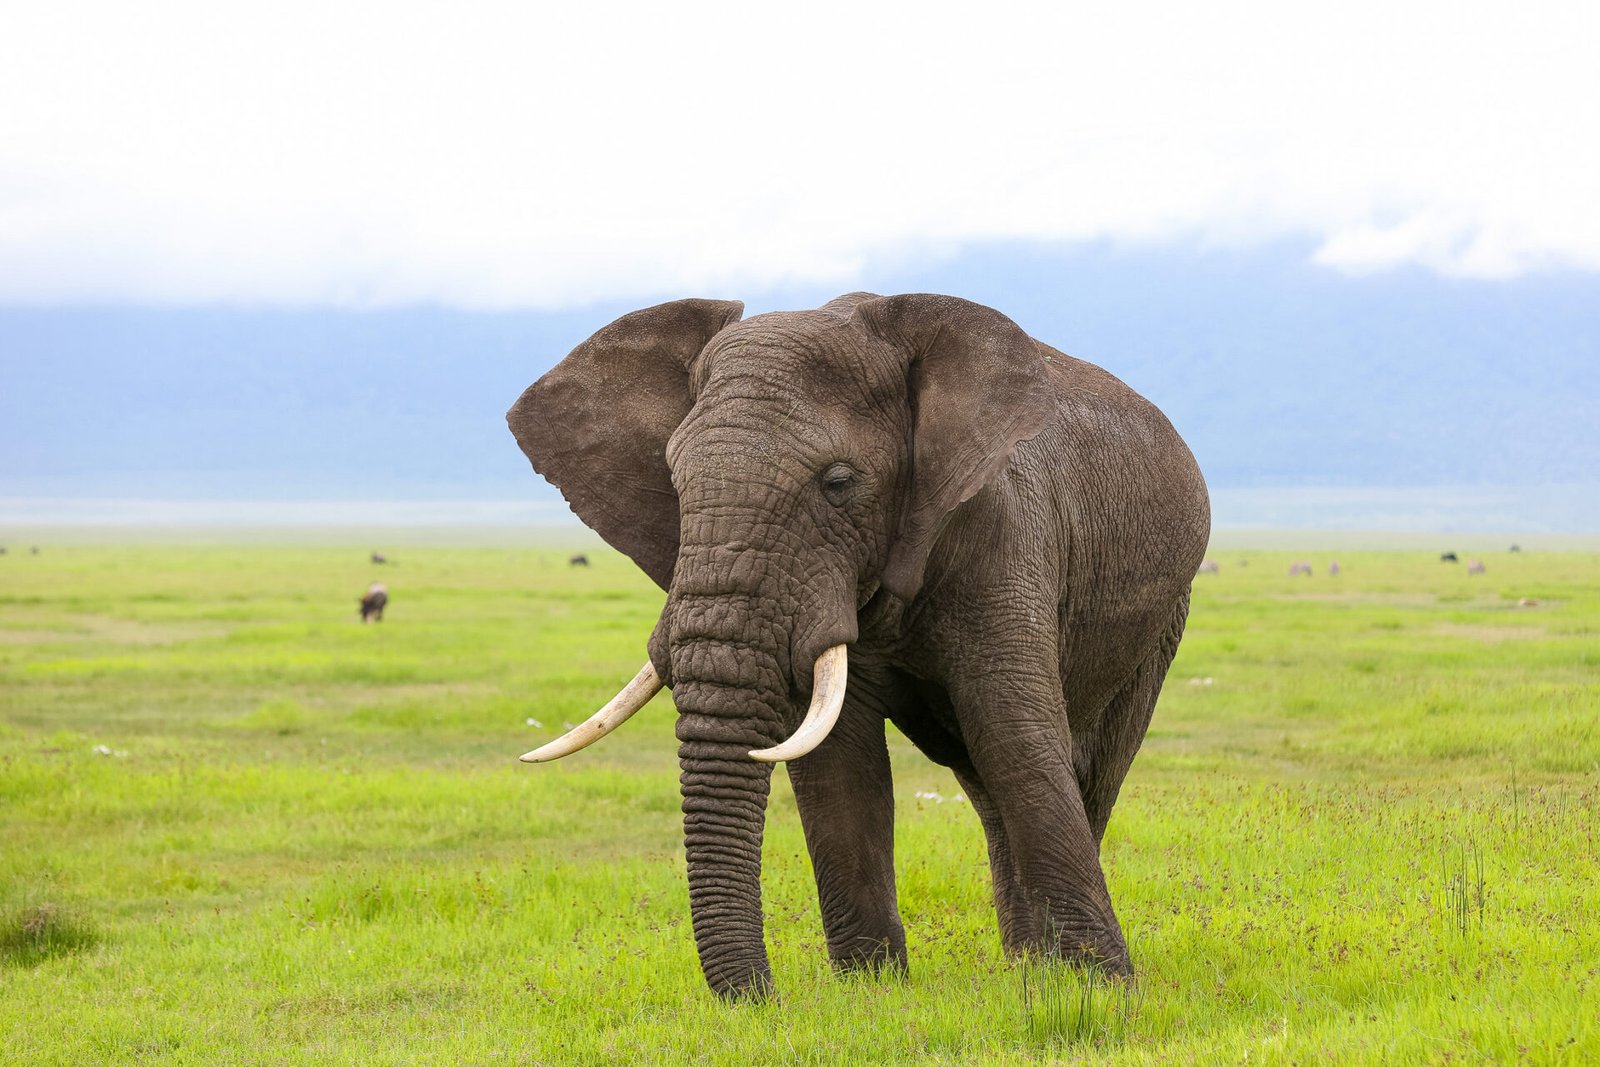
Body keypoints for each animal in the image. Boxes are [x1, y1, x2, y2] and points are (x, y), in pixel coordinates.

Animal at [508, 292, 1209, 999]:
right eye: (674, 484)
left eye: (838, 482)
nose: (761, 999)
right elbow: (841, 763)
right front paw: (871, 991)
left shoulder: (1004, 530)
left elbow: (1015, 735)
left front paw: (1103, 990)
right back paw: (1023, 962)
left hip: (1163, 617)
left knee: (1086, 766)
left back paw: (1041, 968)